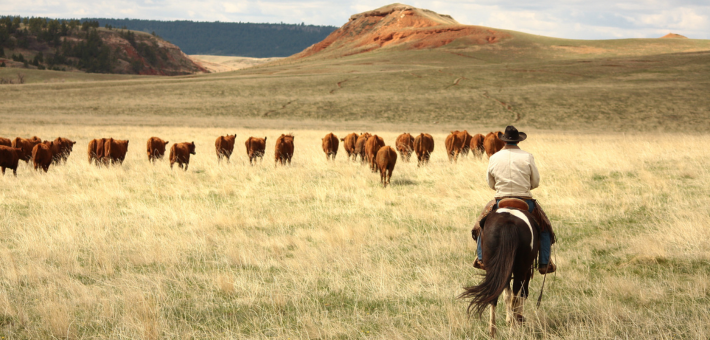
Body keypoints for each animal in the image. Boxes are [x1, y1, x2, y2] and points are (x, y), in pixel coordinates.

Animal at [462, 207, 540, 338]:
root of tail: (508, 223)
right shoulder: (527, 271)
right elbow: (521, 294)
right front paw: (516, 319)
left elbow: (506, 294)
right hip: (520, 270)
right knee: (515, 296)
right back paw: (513, 329)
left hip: (494, 269)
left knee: (494, 296)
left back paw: (493, 331)